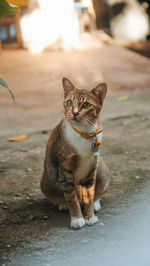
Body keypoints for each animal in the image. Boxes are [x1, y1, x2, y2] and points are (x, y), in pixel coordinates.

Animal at [40, 77, 109, 229]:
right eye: (69, 102)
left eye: (87, 105)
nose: (75, 113)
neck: (84, 133)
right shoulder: (65, 169)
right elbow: (71, 198)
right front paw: (77, 218)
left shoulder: (92, 167)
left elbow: (90, 193)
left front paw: (90, 215)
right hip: (48, 179)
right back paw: (63, 204)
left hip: (102, 170)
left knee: (97, 190)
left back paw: (95, 203)